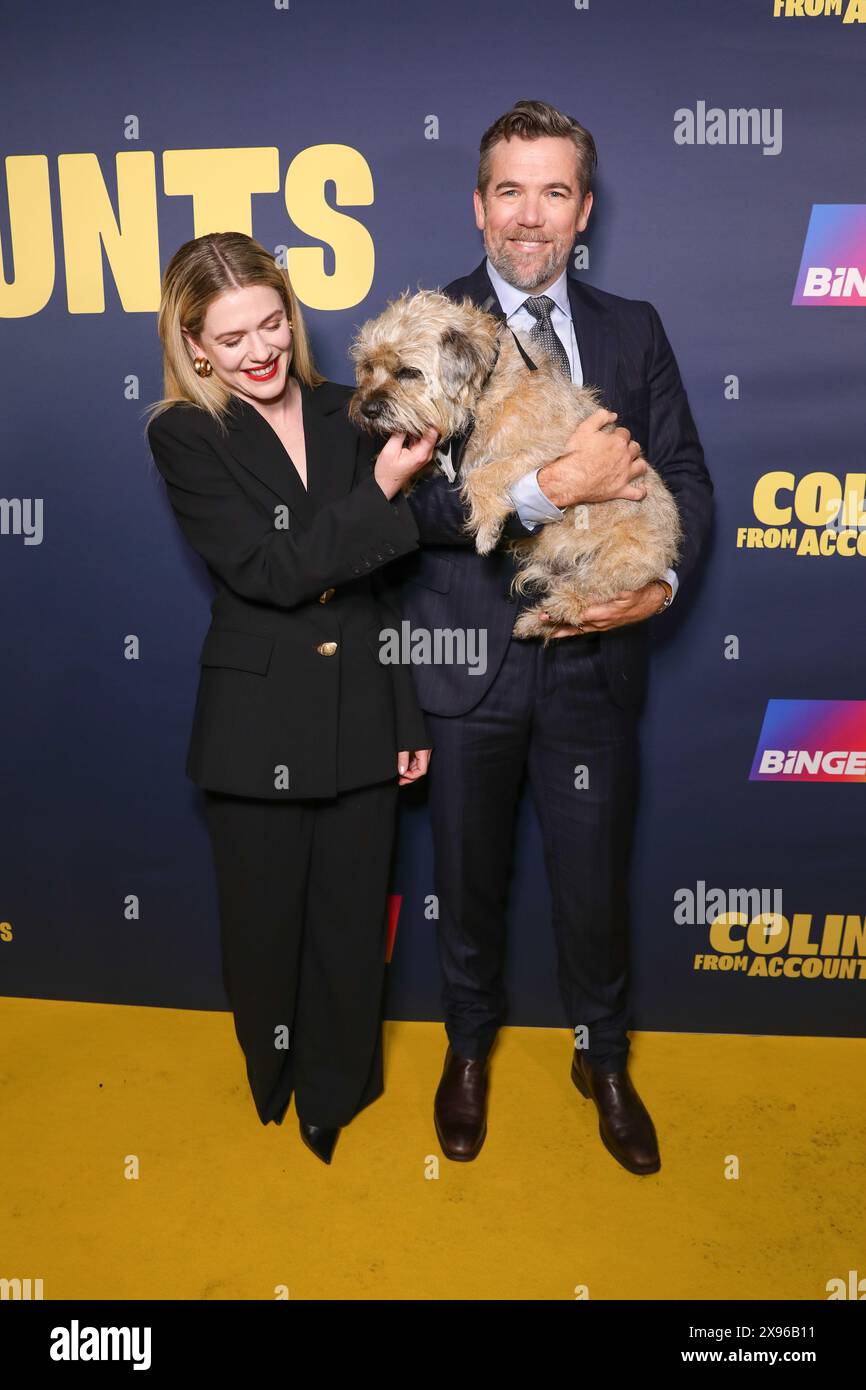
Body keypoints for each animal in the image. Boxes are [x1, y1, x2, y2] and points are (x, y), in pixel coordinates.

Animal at [347, 291, 683, 644]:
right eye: (368, 366)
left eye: (408, 372)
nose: (367, 409)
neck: (484, 390)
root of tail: (668, 552)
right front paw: (399, 476)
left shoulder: (552, 449)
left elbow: (481, 475)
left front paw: (486, 530)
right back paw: (535, 621)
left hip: (619, 560)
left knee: (589, 593)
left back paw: (558, 607)